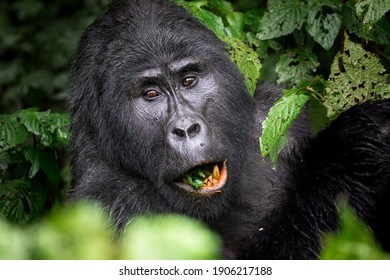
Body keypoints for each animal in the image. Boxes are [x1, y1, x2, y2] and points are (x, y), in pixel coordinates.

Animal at [70, 0, 390, 260]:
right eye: (151, 94)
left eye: (189, 81)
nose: (186, 128)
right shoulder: (109, 203)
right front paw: (350, 146)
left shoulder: (283, 115)